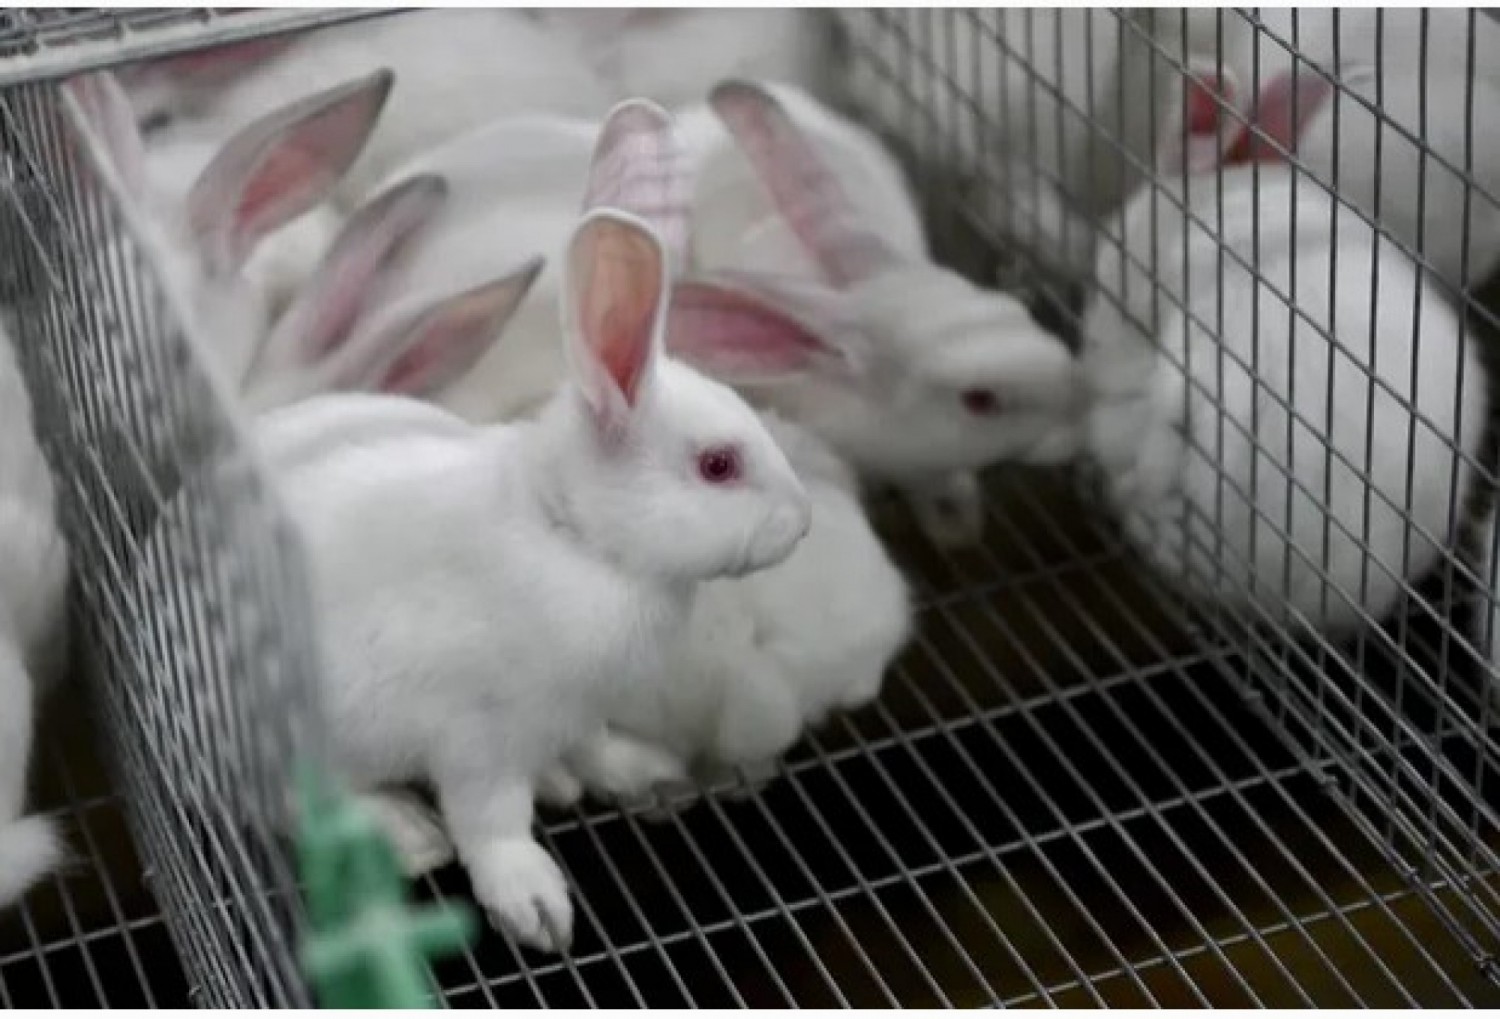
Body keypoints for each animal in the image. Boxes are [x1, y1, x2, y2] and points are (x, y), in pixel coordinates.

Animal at [240, 200, 811, 953]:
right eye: (718, 465)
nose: (802, 522)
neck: (571, 534)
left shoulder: (576, 706)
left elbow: (594, 746)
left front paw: (644, 770)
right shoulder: (480, 735)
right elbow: (492, 824)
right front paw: (536, 908)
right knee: (291, 804)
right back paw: (407, 832)